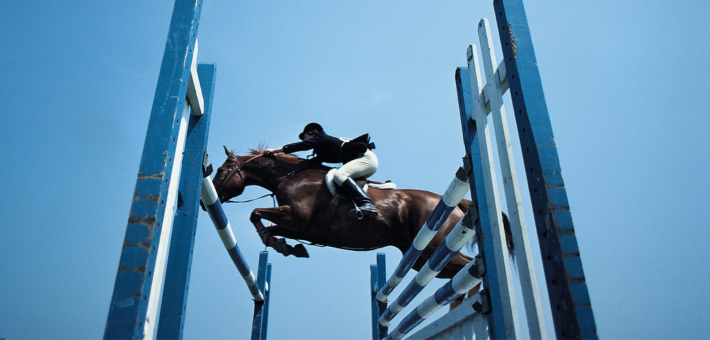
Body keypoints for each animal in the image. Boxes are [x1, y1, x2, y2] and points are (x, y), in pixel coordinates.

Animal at [213, 146, 512, 278]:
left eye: (220, 170)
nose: (209, 201)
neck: (290, 176)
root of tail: (450, 202)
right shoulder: (298, 226)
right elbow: (265, 223)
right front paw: (286, 247)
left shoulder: (296, 218)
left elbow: (255, 212)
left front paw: (282, 245)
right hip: (421, 259)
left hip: (433, 248)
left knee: (469, 266)